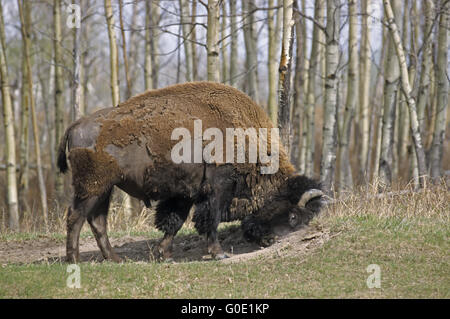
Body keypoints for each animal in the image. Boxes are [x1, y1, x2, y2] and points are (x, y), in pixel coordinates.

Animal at [58, 82, 324, 262]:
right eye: (292, 216)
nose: (272, 241)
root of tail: (77, 124)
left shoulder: (185, 194)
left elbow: (173, 222)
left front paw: (164, 254)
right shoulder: (216, 189)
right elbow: (209, 220)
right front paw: (219, 254)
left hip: (105, 188)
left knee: (96, 220)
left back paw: (115, 259)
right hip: (92, 186)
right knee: (75, 217)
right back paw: (74, 259)